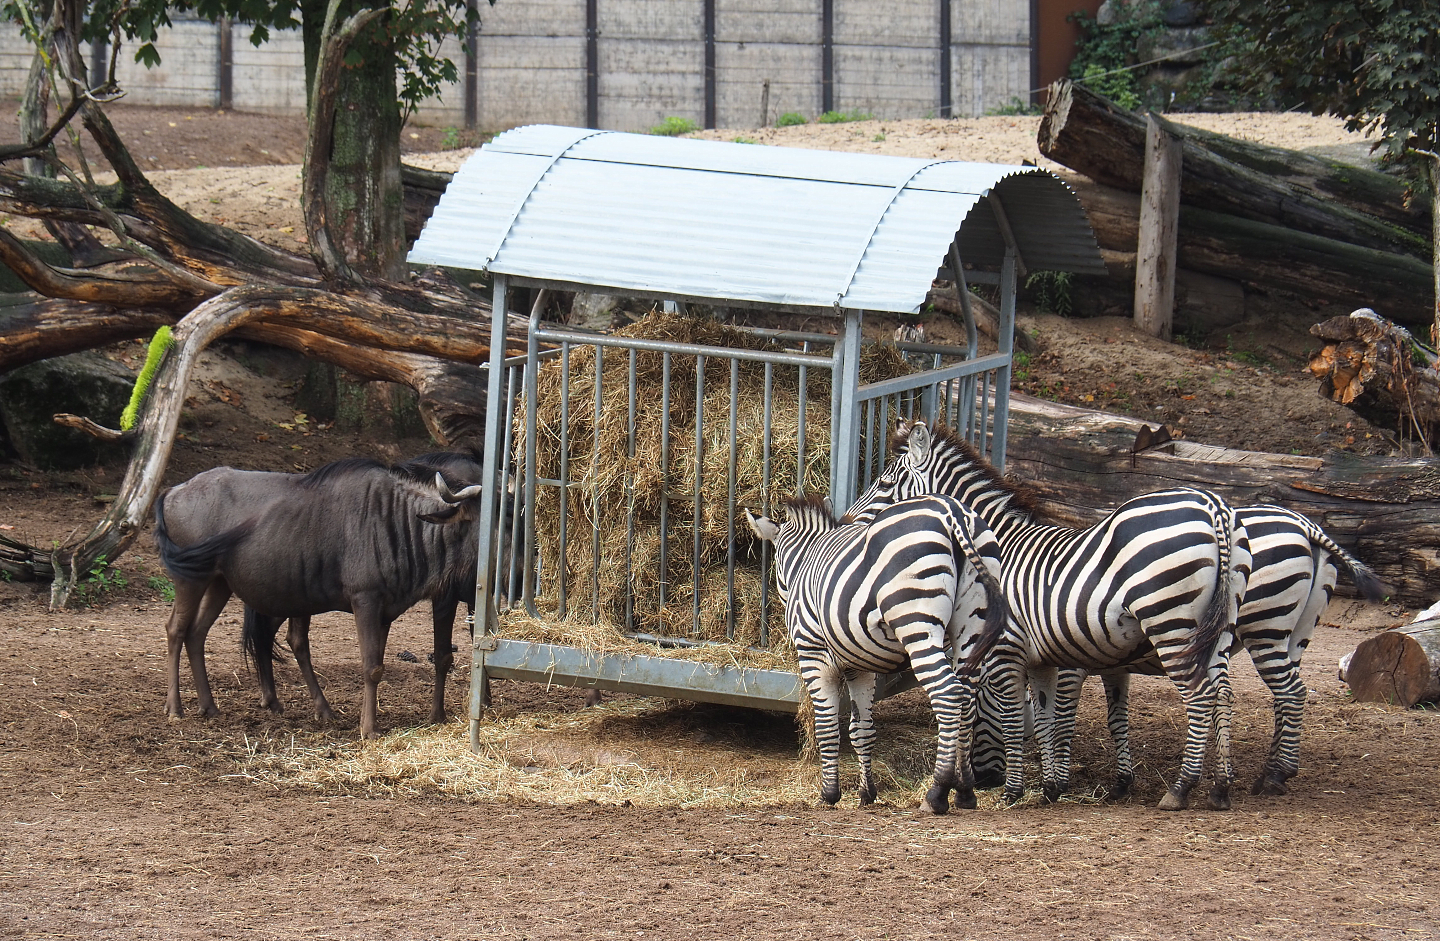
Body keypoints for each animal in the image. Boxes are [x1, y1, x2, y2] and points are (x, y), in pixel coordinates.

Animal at [745, 492, 1009, 813]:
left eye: (777, 567)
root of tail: (952, 510)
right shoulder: (860, 666)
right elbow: (862, 730)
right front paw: (866, 793)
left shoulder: (814, 654)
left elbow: (827, 726)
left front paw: (828, 794)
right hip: (971, 627)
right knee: (967, 702)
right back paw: (965, 791)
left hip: (916, 621)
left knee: (948, 694)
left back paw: (937, 792)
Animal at [856, 418, 1248, 811]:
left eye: (885, 484)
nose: (847, 520)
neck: (998, 546)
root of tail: (1212, 505)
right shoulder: (1040, 657)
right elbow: (1044, 719)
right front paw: (1050, 787)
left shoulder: (1006, 650)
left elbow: (1018, 719)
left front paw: (1014, 792)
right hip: (1219, 628)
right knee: (1223, 694)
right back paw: (1221, 788)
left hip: (1171, 624)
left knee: (1200, 695)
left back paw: (1180, 789)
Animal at [970, 503, 1385, 797]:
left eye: (975, 714)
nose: (983, 780)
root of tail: (1306, 524)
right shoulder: (1109, 660)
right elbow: (1113, 719)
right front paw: (1120, 782)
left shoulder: (1068, 657)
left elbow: (1059, 718)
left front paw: (1055, 781)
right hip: (1289, 633)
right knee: (1273, 695)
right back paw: (1250, 778)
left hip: (1257, 629)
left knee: (1278, 693)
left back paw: (1245, 780)